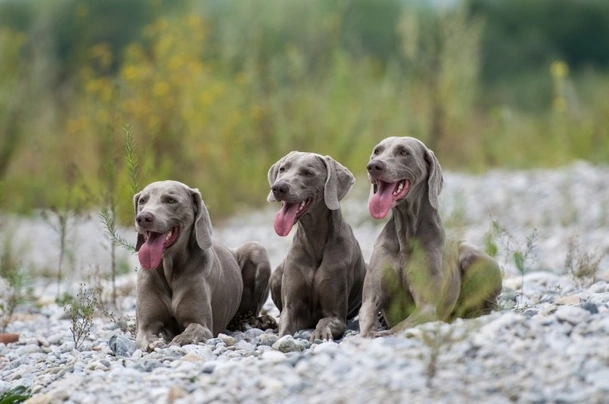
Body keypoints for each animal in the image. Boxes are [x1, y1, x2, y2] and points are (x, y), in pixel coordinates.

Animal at [134, 181, 270, 350]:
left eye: (171, 200)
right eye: (142, 201)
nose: (143, 217)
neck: (169, 268)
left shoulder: (202, 325)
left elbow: (192, 330)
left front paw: (179, 339)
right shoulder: (145, 325)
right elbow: (145, 335)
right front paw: (155, 343)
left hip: (257, 250)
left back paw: (264, 321)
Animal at [268, 152, 364, 340]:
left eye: (308, 173)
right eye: (282, 169)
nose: (278, 187)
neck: (314, 239)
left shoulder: (336, 315)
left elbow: (325, 320)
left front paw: (320, 333)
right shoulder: (291, 308)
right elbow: (285, 325)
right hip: (276, 274)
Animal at [358, 137, 502, 336]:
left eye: (403, 152)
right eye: (377, 151)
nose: (373, 166)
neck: (405, 234)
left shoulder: (426, 307)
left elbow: (399, 328)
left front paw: (383, 333)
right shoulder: (371, 298)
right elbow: (366, 320)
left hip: (472, 254)